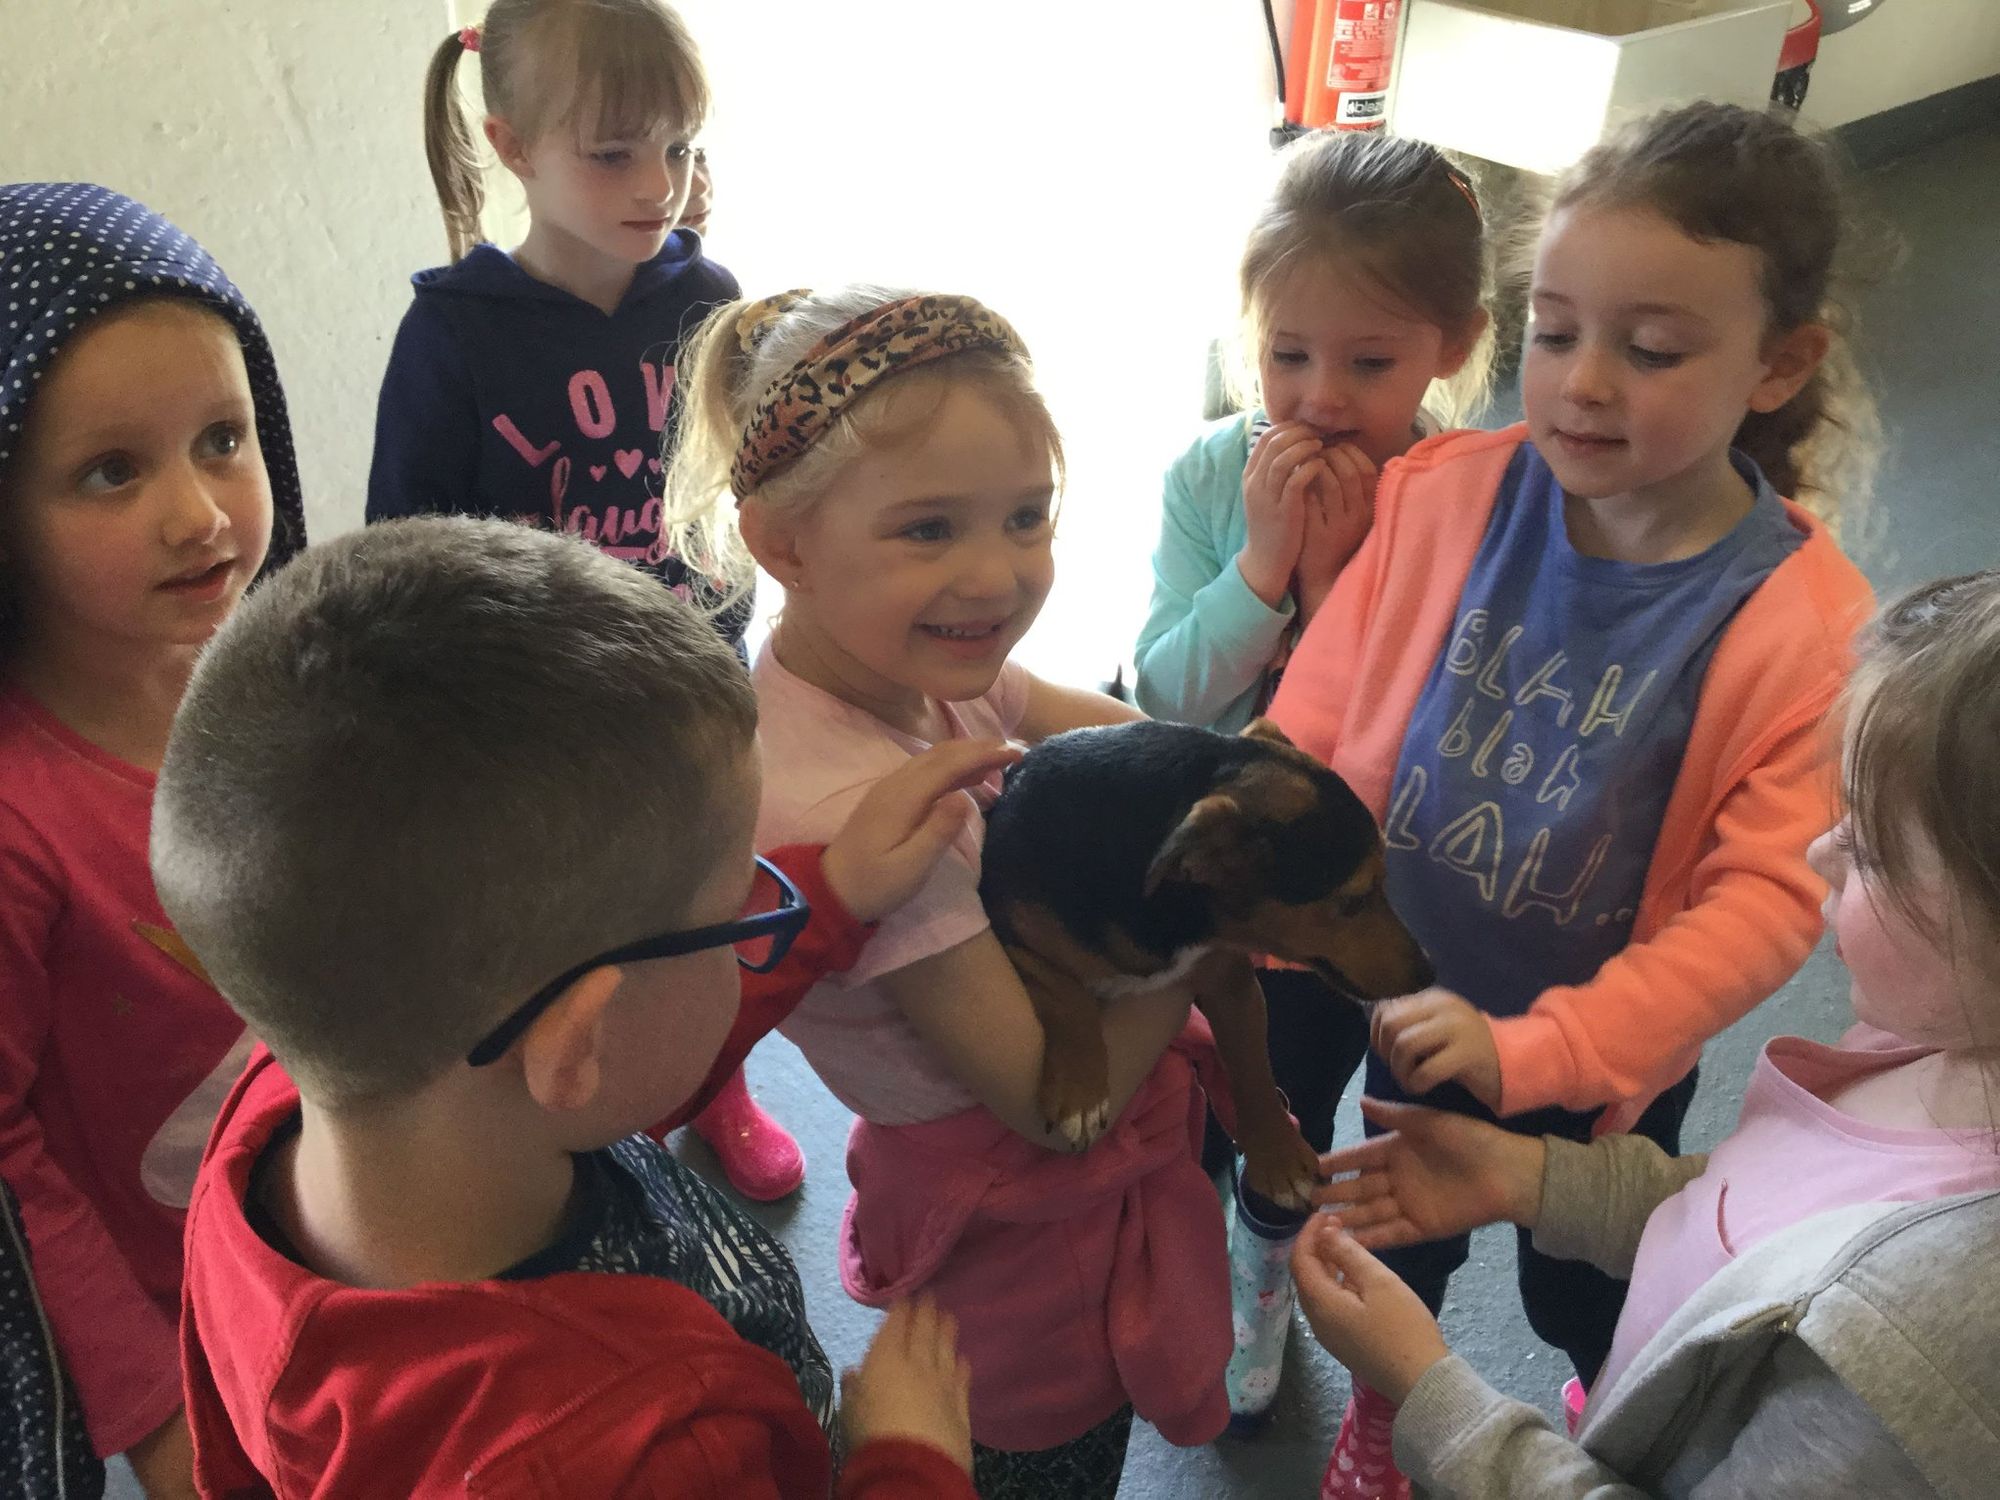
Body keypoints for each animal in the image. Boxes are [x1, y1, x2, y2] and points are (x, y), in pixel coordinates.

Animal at [976, 716, 1432, 1208]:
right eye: (1352, 902)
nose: (1430, 973)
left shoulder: (1232, 982)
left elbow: (1253, 1066)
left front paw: (1279, 1154)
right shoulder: (1009, 931)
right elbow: (1065, 992)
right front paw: (1082, 1092)